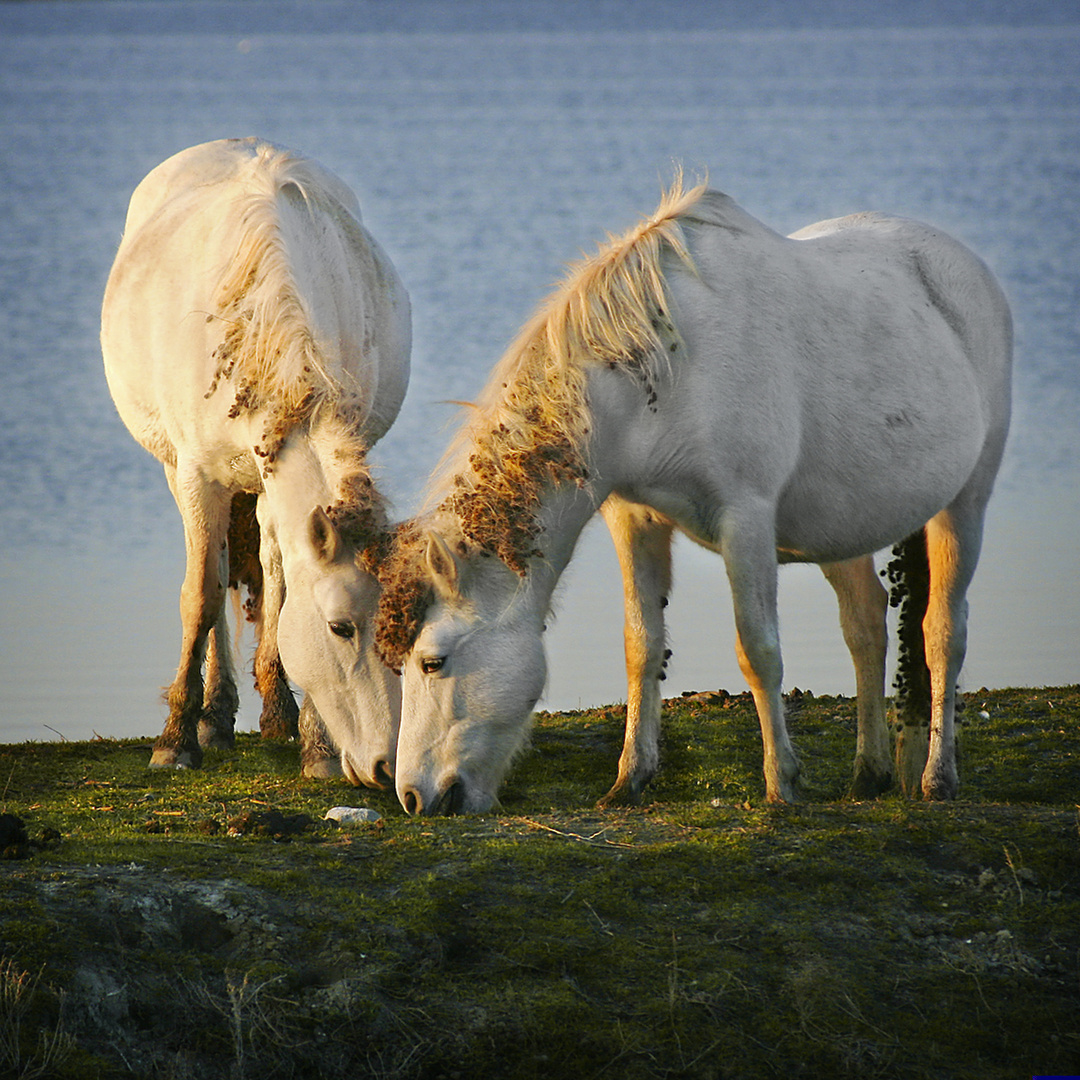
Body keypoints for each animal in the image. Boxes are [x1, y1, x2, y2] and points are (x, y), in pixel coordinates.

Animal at [103, 141, 410, 786]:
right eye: (340, 627)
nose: (385, 766)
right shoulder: (197, 476)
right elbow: (201, 592)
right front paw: (175, 740)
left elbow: (283, 588)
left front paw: (316, 747)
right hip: (180, 471)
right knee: (217, 572)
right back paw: (214, 717)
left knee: (269, 563)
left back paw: (275, 711)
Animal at [373, 181, 1010, 812]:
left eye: (432, 662)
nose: (414, 796)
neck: (663, 372)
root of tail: (969, 267)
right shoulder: (633, 518)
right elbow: (641, 646)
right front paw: (630, 779)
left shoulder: (745, 519)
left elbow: (759, 651)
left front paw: (782, 784)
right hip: (844, 527)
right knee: (866, 627)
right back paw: (870, 773)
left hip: (966, 503)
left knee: (941, 632)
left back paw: (937, 777)